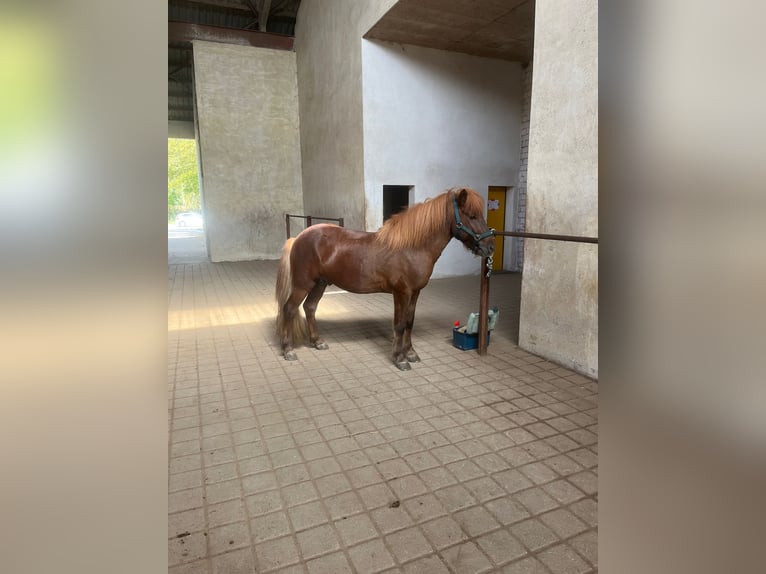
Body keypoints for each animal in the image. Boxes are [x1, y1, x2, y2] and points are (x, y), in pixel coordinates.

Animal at [275, 187, 495, 370]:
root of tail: (299, 237)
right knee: (289, 309)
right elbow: (399, 324)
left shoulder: (415, 292)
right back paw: (288, 350)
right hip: (303, 284)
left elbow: (409, 322)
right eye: (472, 216)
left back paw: (317, 342)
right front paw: (400, 359)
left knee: (310, 307)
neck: (412, 247)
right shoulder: (401, 293)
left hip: (319, 283)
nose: (490, 247)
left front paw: (411, 353)